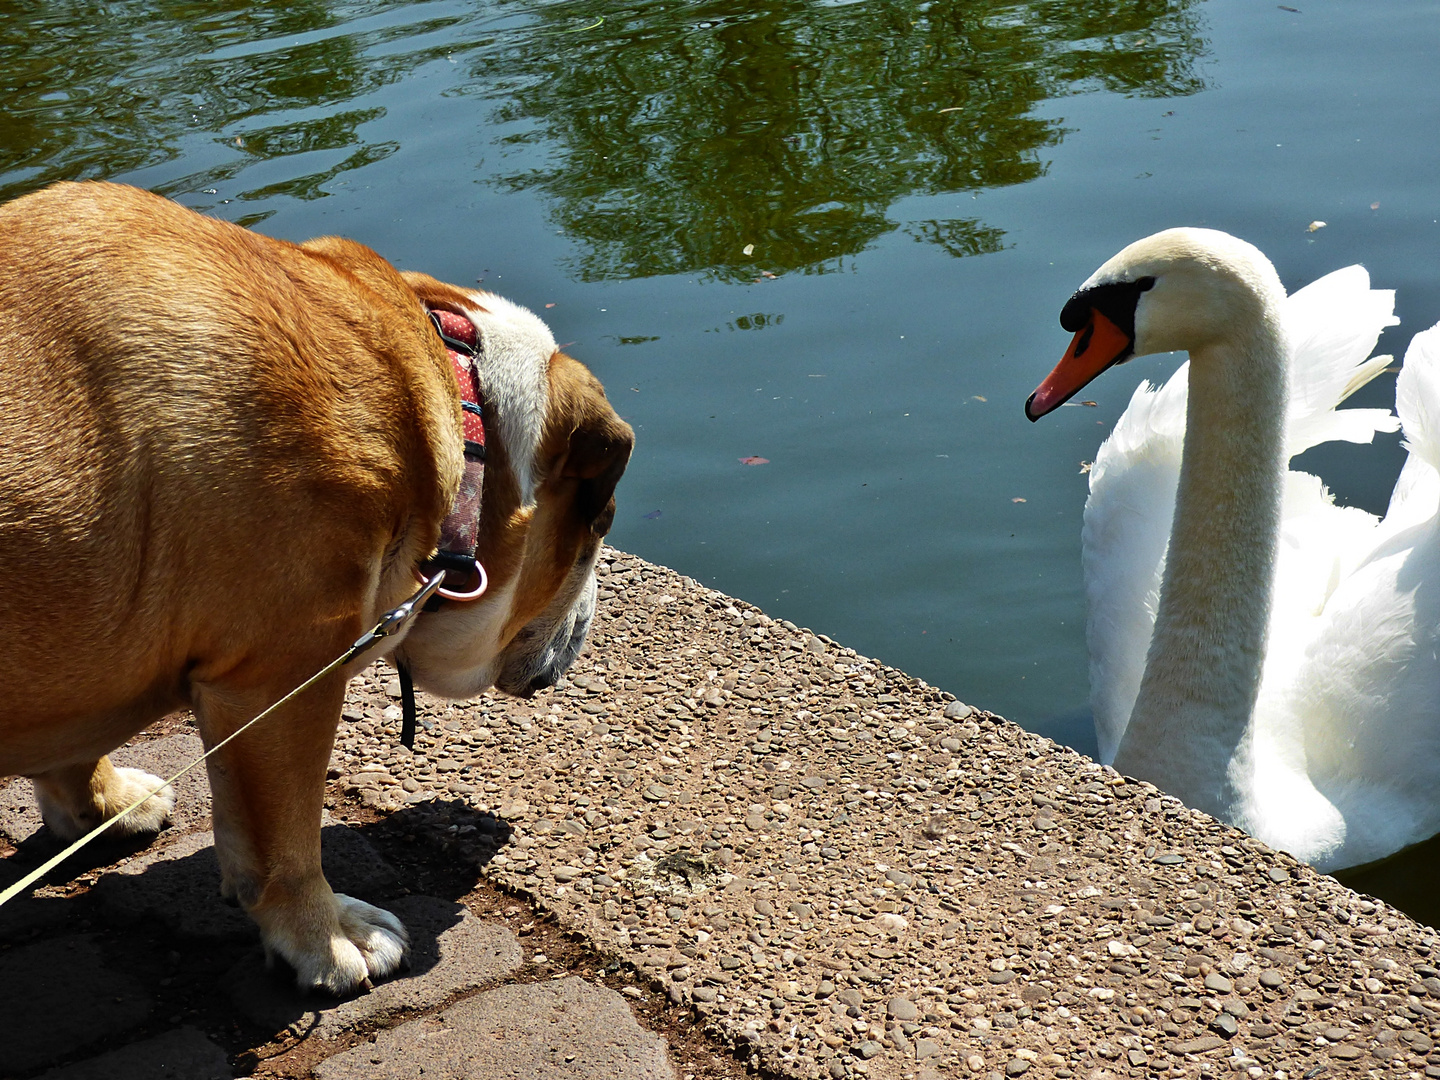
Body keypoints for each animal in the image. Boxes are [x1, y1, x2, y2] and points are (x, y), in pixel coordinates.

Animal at [0, 182, 630, 996]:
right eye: (599, 525)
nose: (591, 618)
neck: (448, 408)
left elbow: (73, 751)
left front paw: (103, 806)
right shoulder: (279, 685)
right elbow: (285, 840)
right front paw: (329, 936)